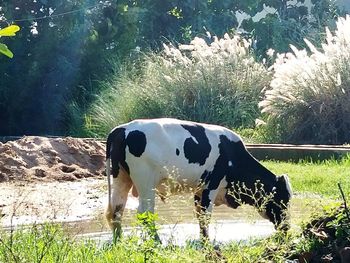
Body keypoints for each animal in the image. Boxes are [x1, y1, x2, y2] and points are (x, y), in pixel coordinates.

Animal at [106, 119, 292, 241]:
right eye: (283, 200)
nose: (287, 228)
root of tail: (123, 128)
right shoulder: (212, 185)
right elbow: (205, 215)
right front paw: (206, 242)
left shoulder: (199, 189)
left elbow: (199, 215)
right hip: (146, 183)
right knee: (145, 213)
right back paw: (157, 241)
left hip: (121, 178)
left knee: (116, 210)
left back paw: (119, 241)